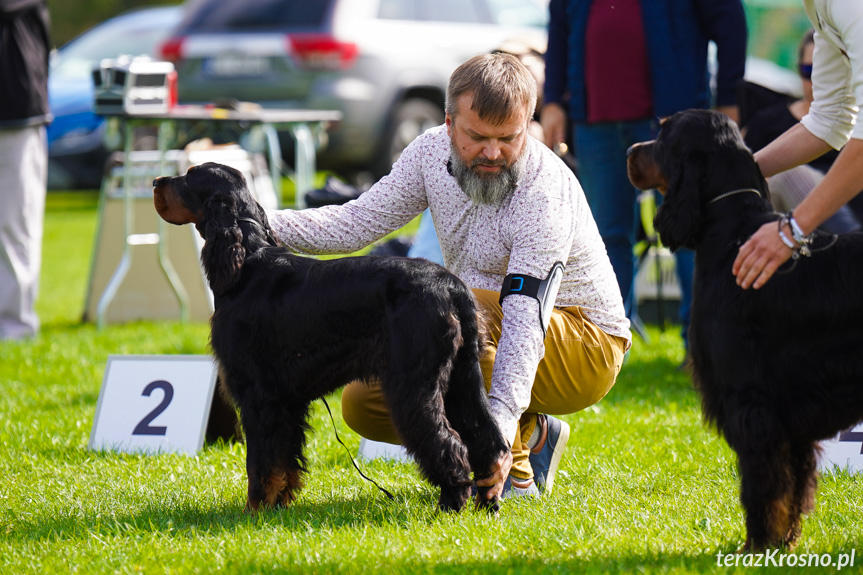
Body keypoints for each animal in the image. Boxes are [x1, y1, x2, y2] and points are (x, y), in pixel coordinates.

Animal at [153, 162, 510, 512]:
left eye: (188, 177)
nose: (156, 181)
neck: (246, 266)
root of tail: (451, 285)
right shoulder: (286, 400)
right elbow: (284, 459)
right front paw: (279, 505)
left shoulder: (257, 393)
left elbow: (261, 461)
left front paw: (254, 510)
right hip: (461, 378)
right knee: (487, 440)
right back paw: (487, 502)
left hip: (414, 384)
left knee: (448, 442)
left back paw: (451, 503)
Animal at [628, 110, 863, 552]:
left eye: (663, 133)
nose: (631, 151)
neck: (733, 236)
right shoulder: (790, 415)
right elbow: (794, 483)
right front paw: (785, 541)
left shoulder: (751, 401)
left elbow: (763, 484)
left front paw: (757, 544)